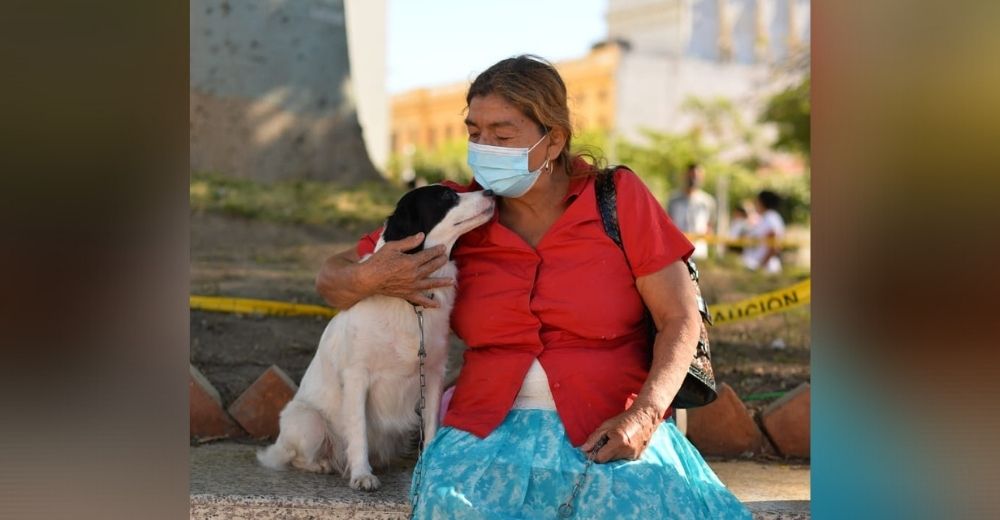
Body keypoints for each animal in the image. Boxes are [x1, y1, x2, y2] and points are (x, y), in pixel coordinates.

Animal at [256, 185, 494, 490]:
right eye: (445, 196)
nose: (490, 192)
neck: (410, 304)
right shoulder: (357, 377)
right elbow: (358, 430)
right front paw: (361, 475)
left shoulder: (432, 375)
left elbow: (430, 428)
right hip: (308, 421)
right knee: (297, 456)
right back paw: (323, 464)